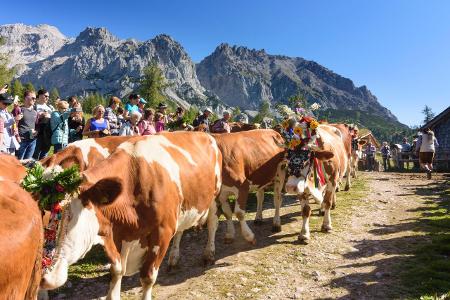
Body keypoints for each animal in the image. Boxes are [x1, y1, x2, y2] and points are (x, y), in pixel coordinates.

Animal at [39, 132, 222, 298]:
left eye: (73, 219)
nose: (47, 277)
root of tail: (203, 132)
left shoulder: (162, 232)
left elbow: (148, 277)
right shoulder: (115, 233)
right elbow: (117, 270)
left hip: (214, 196)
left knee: (212, 224)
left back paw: (208, 254)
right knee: (181, 230)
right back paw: (174, 259)